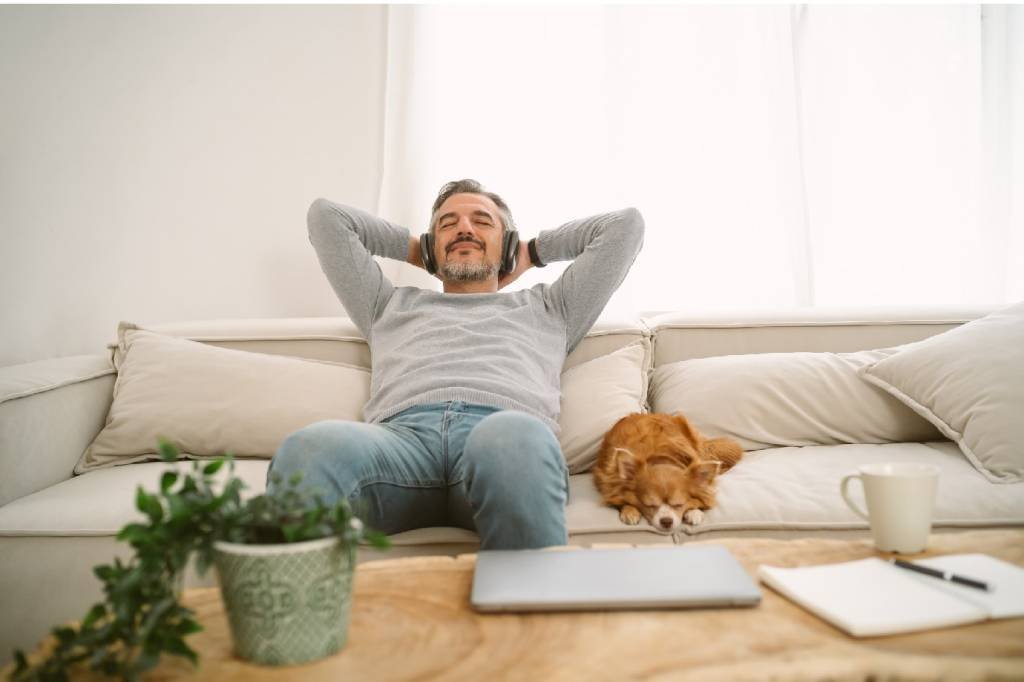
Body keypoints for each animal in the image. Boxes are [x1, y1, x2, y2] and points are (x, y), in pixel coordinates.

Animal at [593, 409, 745, 532]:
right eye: (649, 505)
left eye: (679, 505)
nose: (666, 521)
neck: (659, 458)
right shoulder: (608, 480)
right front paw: (629, 511)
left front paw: (694, 512)